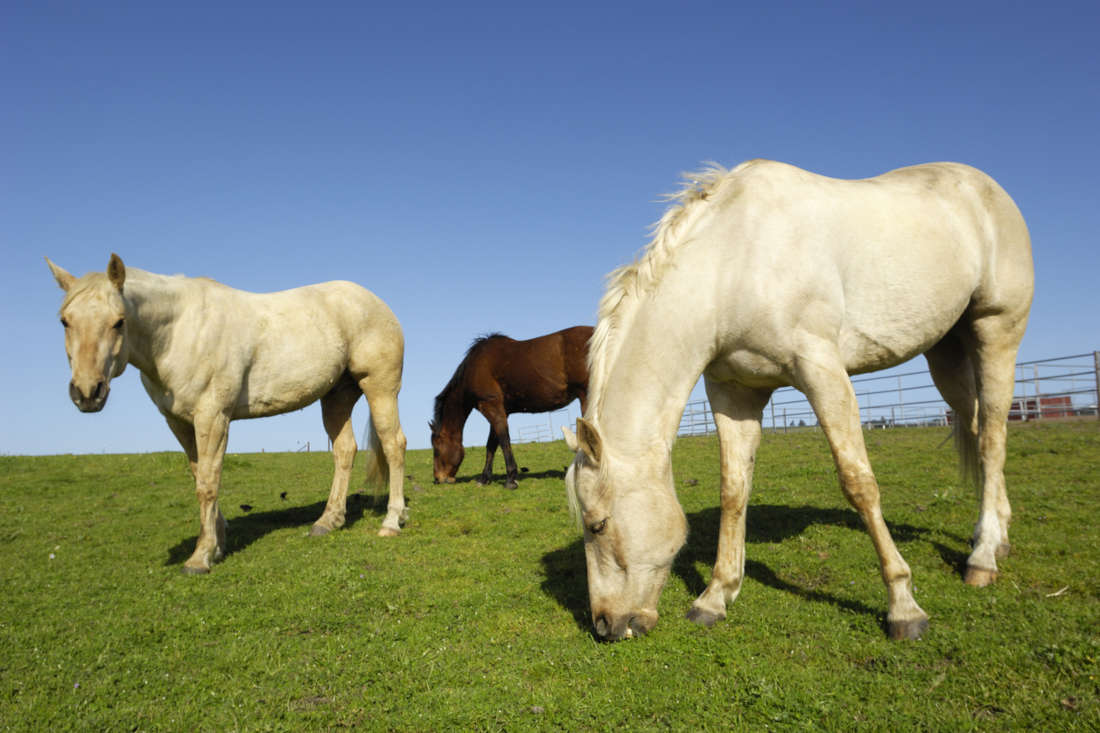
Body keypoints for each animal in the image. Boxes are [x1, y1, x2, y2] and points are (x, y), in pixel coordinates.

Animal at [46, 254, 409, 574]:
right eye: (65, 321)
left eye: (118, 322)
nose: (87, 392)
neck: (179, 332)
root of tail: (376, 302)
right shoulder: (179, 422)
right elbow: (199, 476)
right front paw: (217, 542)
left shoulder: (213, 417)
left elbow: (208, 483)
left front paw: (201, 557)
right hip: (336, 397)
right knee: (345, 450)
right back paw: (328, 521)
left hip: (379, 389)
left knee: (394, 444)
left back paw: (392, 521)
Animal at [431, 326, 592, 489]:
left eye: (436, 449)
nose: (437, 478)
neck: (475, 368)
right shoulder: (501, 411)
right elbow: (491, 444)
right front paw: (484, 478)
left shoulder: (491, 407)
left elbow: (503, 440)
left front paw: (510, 479)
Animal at [563, 160, 1033, 641]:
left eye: (598, 524)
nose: (605, 625)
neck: (731, 265)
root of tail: (988, 188)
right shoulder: (734, 392)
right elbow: (734, 490)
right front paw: (715, 596)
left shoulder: (822, 370)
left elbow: (859, 483)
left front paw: (903, 606)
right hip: (946, 351)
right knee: (977, 430)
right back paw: (995, 537)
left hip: (995, 332)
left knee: (992, 438)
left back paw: (983, 558)